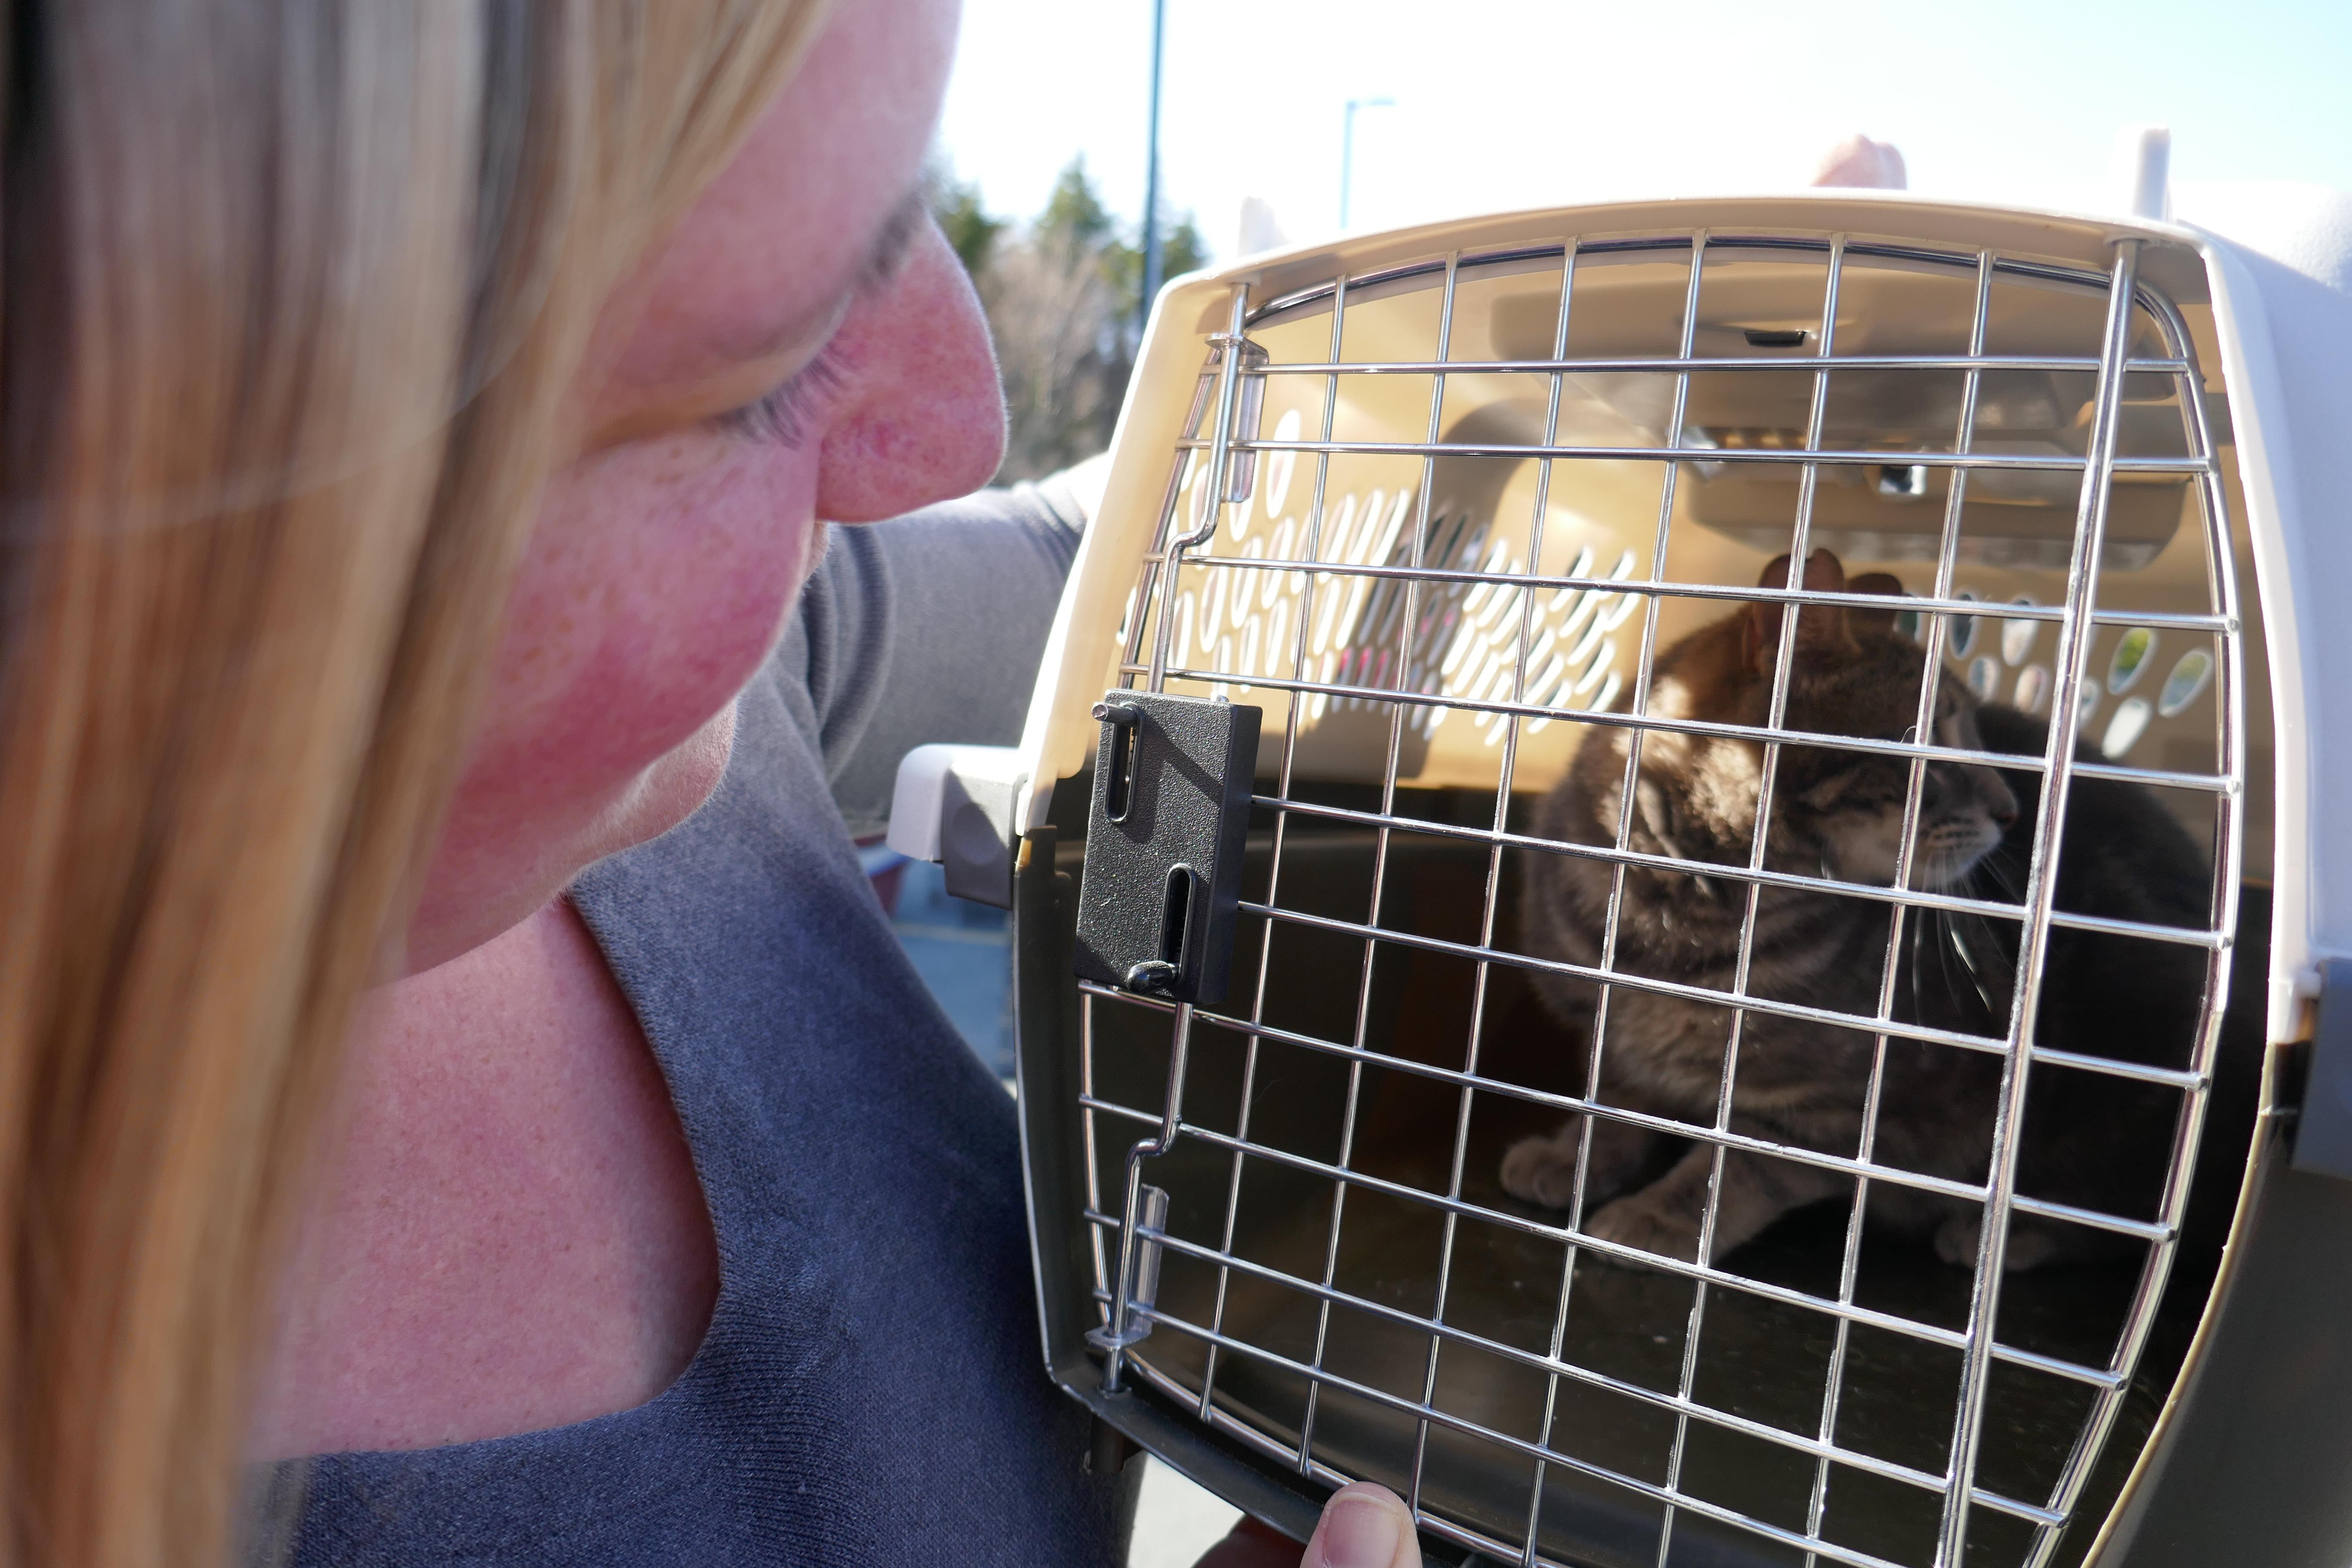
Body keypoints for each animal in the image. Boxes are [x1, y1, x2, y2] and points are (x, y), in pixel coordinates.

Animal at [1505, 552, 2201, 1279]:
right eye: (1930, 739)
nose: (2013, 811)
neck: (1678, 918)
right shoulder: (1608, 1037)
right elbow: (1609, 1106)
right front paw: (1567, 1155)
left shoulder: (1840, 1111)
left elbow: (1734, 1168)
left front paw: (1657, 1218)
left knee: (2109, 1221)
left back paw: (1996, 1238)